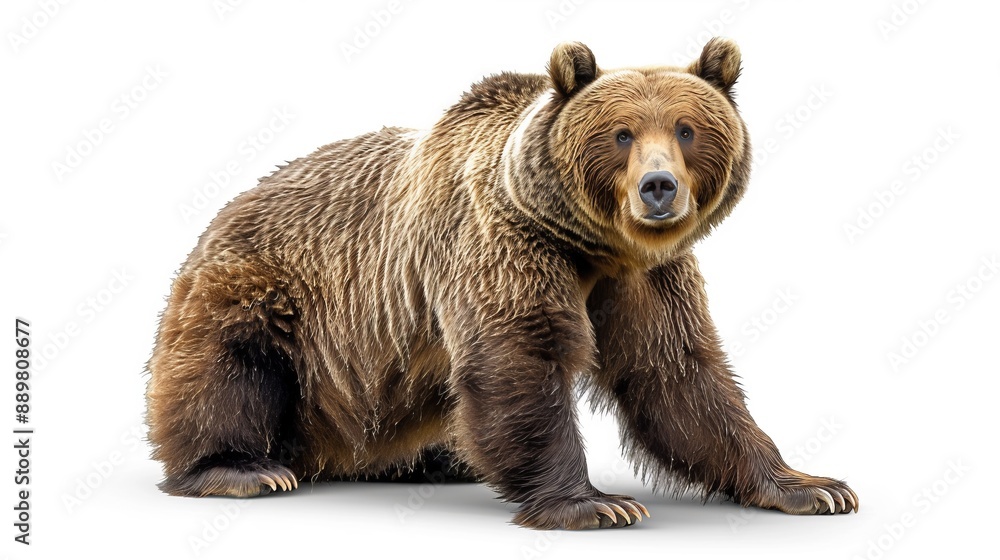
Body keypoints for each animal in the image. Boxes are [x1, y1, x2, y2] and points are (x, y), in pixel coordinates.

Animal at [145, 38, 858, 529]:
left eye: (686, 129)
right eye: (621, 134)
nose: (659, 187)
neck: (591, 246)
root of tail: (217, 218)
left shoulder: (645, 279)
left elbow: (679, 373)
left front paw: (812, 486)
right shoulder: (503, 244)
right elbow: (518, 358)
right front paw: (595, 504)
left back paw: (437, 462)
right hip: (265, 291)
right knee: (229, 369)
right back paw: (241, 469)